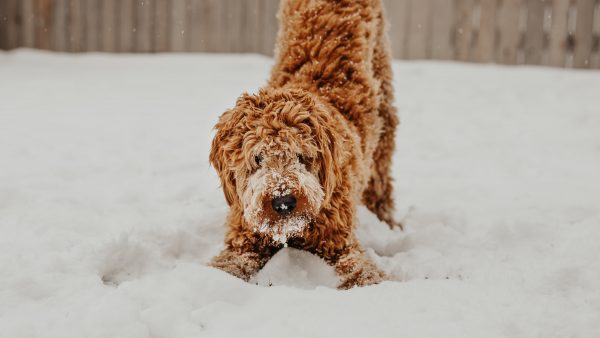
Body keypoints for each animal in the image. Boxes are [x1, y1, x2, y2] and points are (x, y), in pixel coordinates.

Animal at [209, 0, 400, 290]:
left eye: (301, 155)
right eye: (257, 158)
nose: (283, 201)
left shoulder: (339, 242)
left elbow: (362, 271)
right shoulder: (244, 239)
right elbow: (227, 265)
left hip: (384, 109)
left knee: (380, 179)